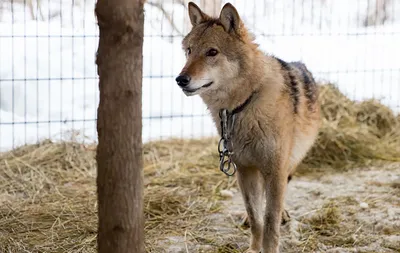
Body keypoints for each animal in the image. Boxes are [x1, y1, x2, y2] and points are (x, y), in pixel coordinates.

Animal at [177, 2, 320, 253]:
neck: (243, 106)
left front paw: (269, 247)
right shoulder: (244, 170)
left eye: (212, 52)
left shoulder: (275, 169)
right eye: (189, 51)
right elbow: (255, 217)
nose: (180, 79)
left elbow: (270, 220)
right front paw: (254, 247)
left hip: (289, 162)